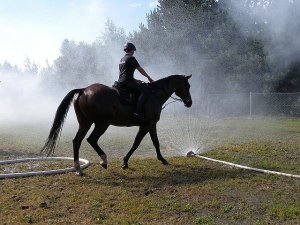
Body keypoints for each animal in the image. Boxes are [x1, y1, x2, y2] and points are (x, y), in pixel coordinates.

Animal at [40, 74, 192, 175]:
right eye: (188, 85)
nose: (189, 102)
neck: (154, 95)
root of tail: (84, 90)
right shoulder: (145, 126)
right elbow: (136, 143)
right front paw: (125, 162)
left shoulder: (151, 125)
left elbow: (156, 142)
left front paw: (162, 159)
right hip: (102, 124)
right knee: (92, 139)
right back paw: (103, 161)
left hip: (85, 123)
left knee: (77, 141)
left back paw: (78, 169)